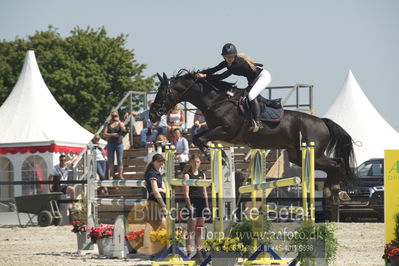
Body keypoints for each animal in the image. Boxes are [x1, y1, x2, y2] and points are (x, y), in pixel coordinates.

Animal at [152, 70, 358, 220]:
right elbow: (198, 138)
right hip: (297, 155)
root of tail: (322, 121)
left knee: (337, 163)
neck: (216, 101)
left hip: (313, 152)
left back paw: (335, 193)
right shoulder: (217, 132)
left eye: (163, 92)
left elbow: (199, 140)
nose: (153, 114)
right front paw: (221, 157)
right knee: (333, 165)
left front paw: (216, 157)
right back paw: (332, 194)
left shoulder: (225, 131)